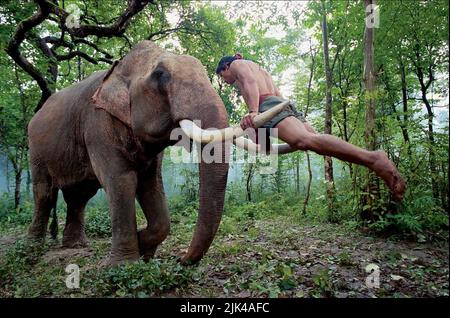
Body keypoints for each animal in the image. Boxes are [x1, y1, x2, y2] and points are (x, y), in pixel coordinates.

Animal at [26, 39, 284, 264]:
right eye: (160, 75)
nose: (182, 259)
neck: (119, 68)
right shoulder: (97, 124)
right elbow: (122, 180)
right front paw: (122, 264)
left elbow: (150, 184)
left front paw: (144, 250)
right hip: (36, 150)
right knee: (45, 192)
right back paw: (34, 248)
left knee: (79, 196)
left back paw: (75, 246)